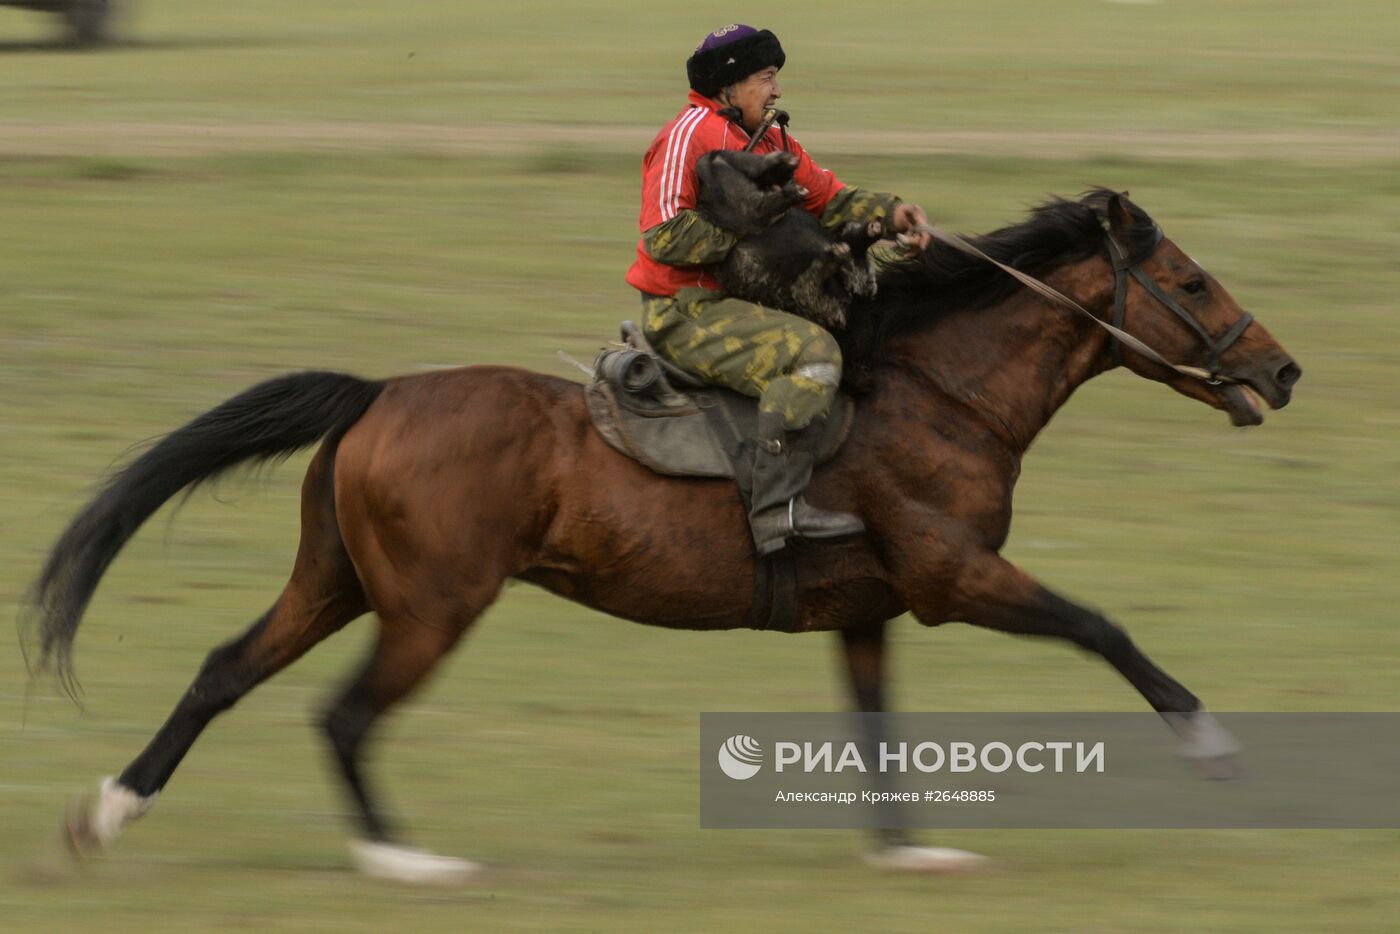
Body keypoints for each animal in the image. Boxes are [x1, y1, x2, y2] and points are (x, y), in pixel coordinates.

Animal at [24, 191, 1299, 884]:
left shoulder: (873, 608)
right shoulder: (955, 574)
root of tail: (379, 392)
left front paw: (905, 851)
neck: (939, 390)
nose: (1283, 371)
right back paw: (405, 860)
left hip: (337, 582)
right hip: (432, 606)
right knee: (342, 715)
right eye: (1189, 280)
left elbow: (876, 725)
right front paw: (1210, 745)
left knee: (222, 670)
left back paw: (107, 811)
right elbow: (1102, 628)